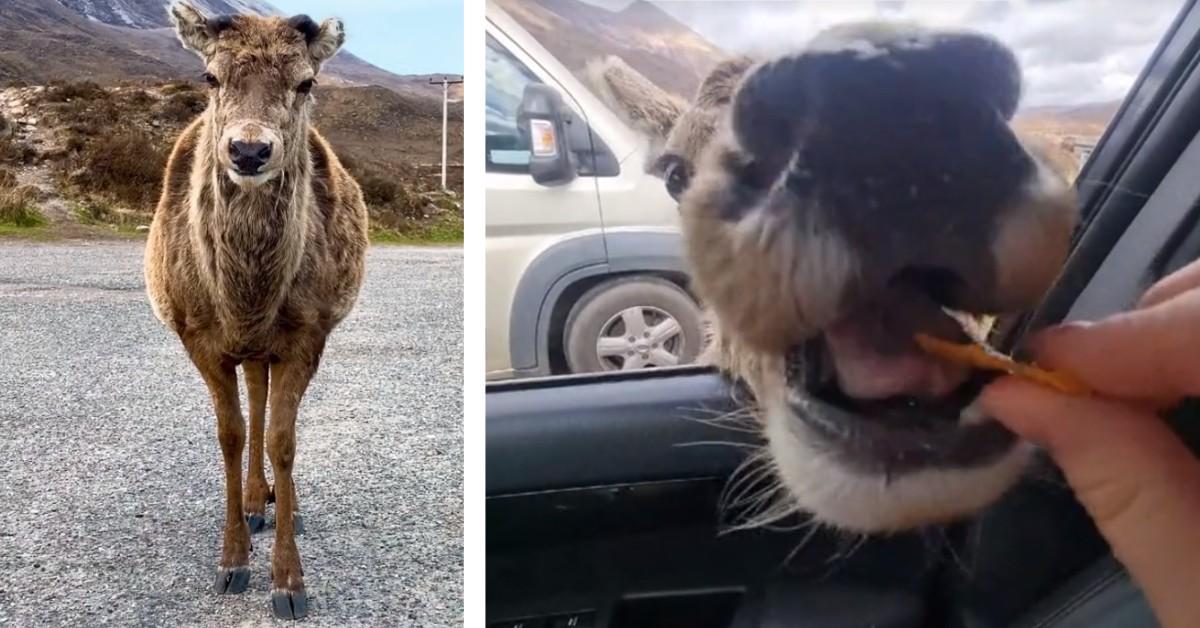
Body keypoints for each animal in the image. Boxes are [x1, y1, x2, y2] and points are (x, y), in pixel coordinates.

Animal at [141, 1, 364, 619]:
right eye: (210, 76)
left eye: (306, 82)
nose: (248, 150)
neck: (245, 300)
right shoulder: (197, 336)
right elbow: (231, 434)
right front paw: (232, 561)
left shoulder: (308, 334)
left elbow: (282, 440)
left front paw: (289, 582)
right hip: (248, 350)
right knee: (254, 403)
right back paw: (251, 502)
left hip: (280, 346)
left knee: (267, 407)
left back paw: (272, 502)